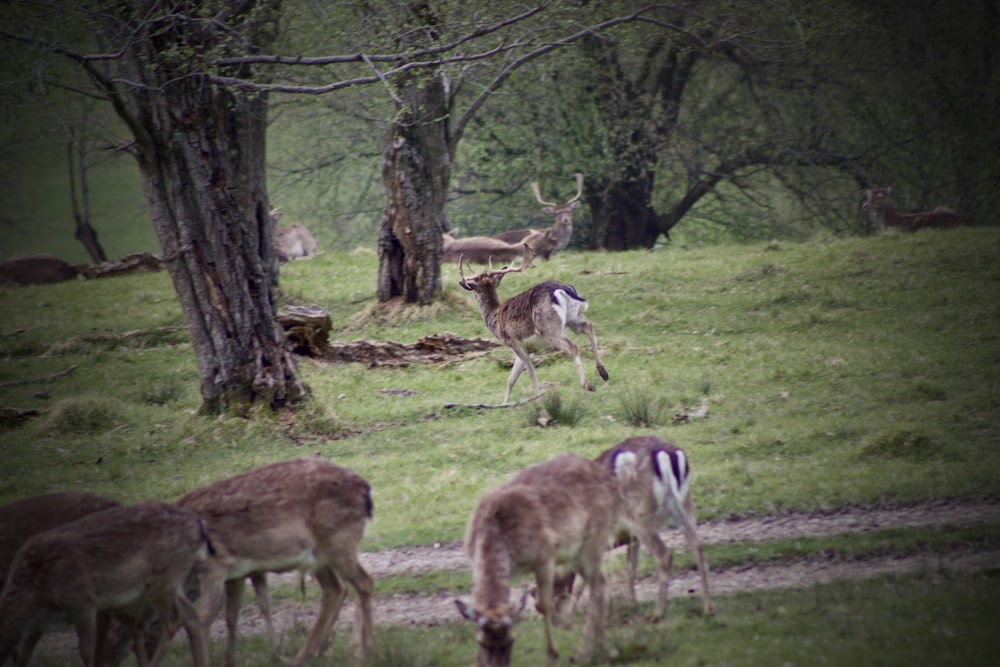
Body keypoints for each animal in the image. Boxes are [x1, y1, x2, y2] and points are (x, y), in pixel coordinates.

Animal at [0, 500, 211, 667]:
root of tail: (199, 524)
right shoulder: (39, 625)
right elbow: (22, 657)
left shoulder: (82, 601)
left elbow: (87, 653)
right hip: (173, 582)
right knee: (191, 616)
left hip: (163, 580)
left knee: (173, 621)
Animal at [174, 456, 374, 667]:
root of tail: (365, 489)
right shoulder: (236, 573)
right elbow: (232, 614)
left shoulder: (216, 567)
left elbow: (203, 618)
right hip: (320, 555)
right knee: (338, 587)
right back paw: (313, 653)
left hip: (337, 543)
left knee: (362, 582)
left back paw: (361, 652)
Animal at [456, 244, 604, 404]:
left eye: (475, 287)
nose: (464, 284)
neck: (495, 317)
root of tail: (562, 289)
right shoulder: (525, 347)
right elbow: (511, 379)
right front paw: (505, 404)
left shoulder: (512, 341)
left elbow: (530, 372)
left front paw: (537, 398)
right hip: (573, 317)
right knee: (589, 326)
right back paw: (603, 372)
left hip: (548, 326)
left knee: (573, 346)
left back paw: (588, 384)